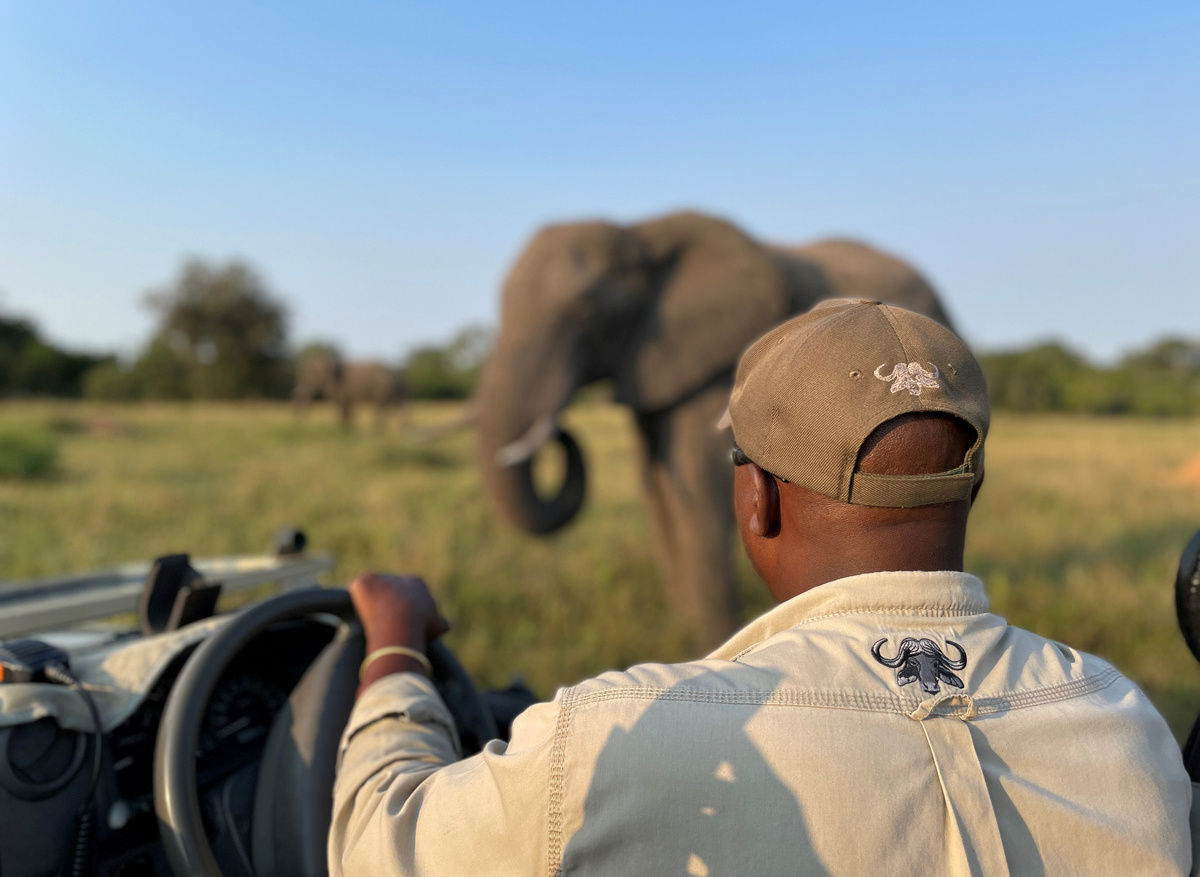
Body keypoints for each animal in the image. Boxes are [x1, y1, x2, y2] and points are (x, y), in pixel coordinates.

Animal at [476, 210, 955, 648]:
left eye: (584, 312)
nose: (556, 429)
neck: (642, 232)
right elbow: (657, 488)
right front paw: (684, 631)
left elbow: (699, 485)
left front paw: (712, 640)